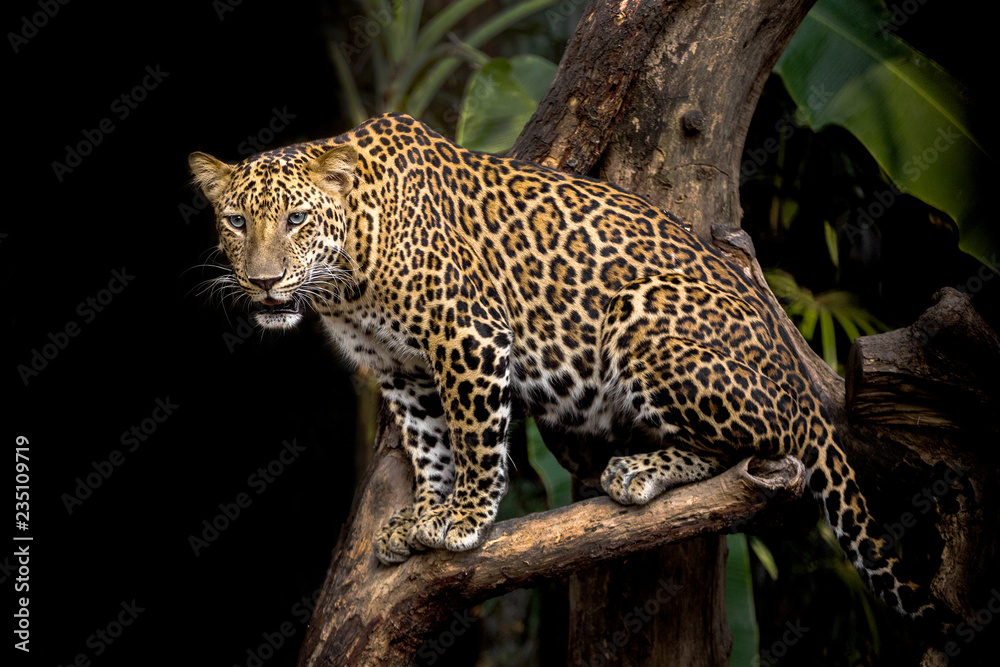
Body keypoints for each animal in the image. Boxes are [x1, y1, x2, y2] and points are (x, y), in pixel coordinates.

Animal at [189, 111, 939, 623]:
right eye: (235, 220)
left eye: (295, 219)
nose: (262, 282)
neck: (346, 278)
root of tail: (801, 378)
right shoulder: (401, 368)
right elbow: (429, 445)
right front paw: (424, 513)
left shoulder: (469, 333)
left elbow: (474, 439)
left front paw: (464, 518)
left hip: (643, 319)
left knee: (764, 444)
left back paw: (641, 470)